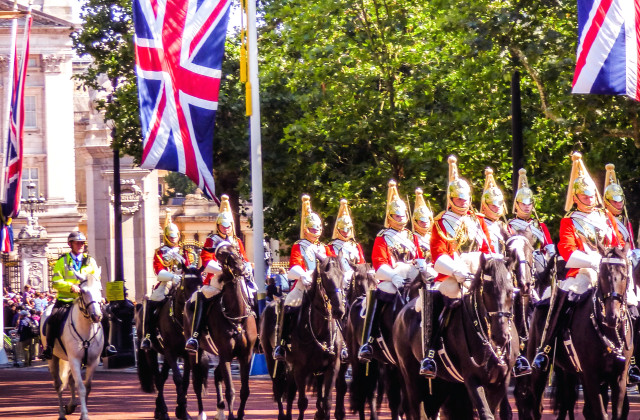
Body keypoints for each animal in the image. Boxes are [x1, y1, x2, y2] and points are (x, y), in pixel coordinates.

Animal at [39, 270, 104, 420]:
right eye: (83, 291)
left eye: (100, 289)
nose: (96, 316)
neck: (86, 329)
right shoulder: (74, 359)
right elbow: (81, 387)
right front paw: (84, 415)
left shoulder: (93, 361)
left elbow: (87, 387)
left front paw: (82, 412)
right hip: (53, 358)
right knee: (58, 384)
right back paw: (62, 413)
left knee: (69, 380)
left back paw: (70, 406)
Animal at [185, 243, 258, 420]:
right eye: (220, 255)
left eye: (235, 248)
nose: (240, 267)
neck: (236, 316)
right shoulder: (225, 354)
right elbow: (230, 391)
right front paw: (232, 416)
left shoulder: (245, 355)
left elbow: (244, 390)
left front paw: (239, 415)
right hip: (194, 353)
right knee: (197, 383)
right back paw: (202, 413)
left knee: (217, 375)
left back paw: (219, 410)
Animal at [396, 253, 520, 420]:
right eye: (486, 291)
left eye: (510, 291)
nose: (500, 336)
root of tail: (403, 311)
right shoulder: (472, 378)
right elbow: (486, 413)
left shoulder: (501, 381)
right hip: (411, 377)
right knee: (417, 410)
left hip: (443, 383)